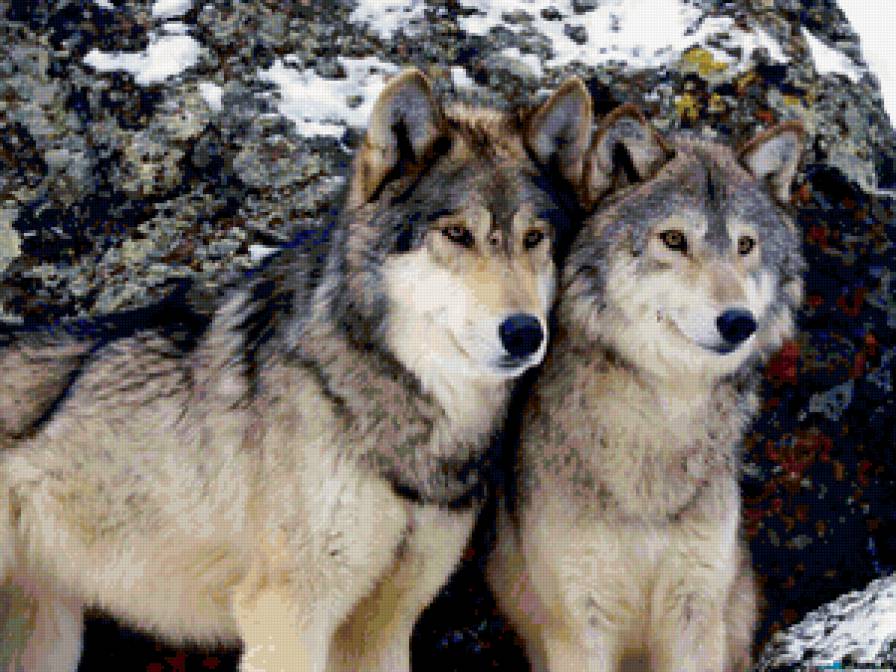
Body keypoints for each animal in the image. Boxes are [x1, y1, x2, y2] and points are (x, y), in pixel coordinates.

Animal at [487, 105, 805, 672]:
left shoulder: (695, 609)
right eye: (674, 240)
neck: (659, 429)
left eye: (746, 246)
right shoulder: (579, 617)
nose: (739, 322)